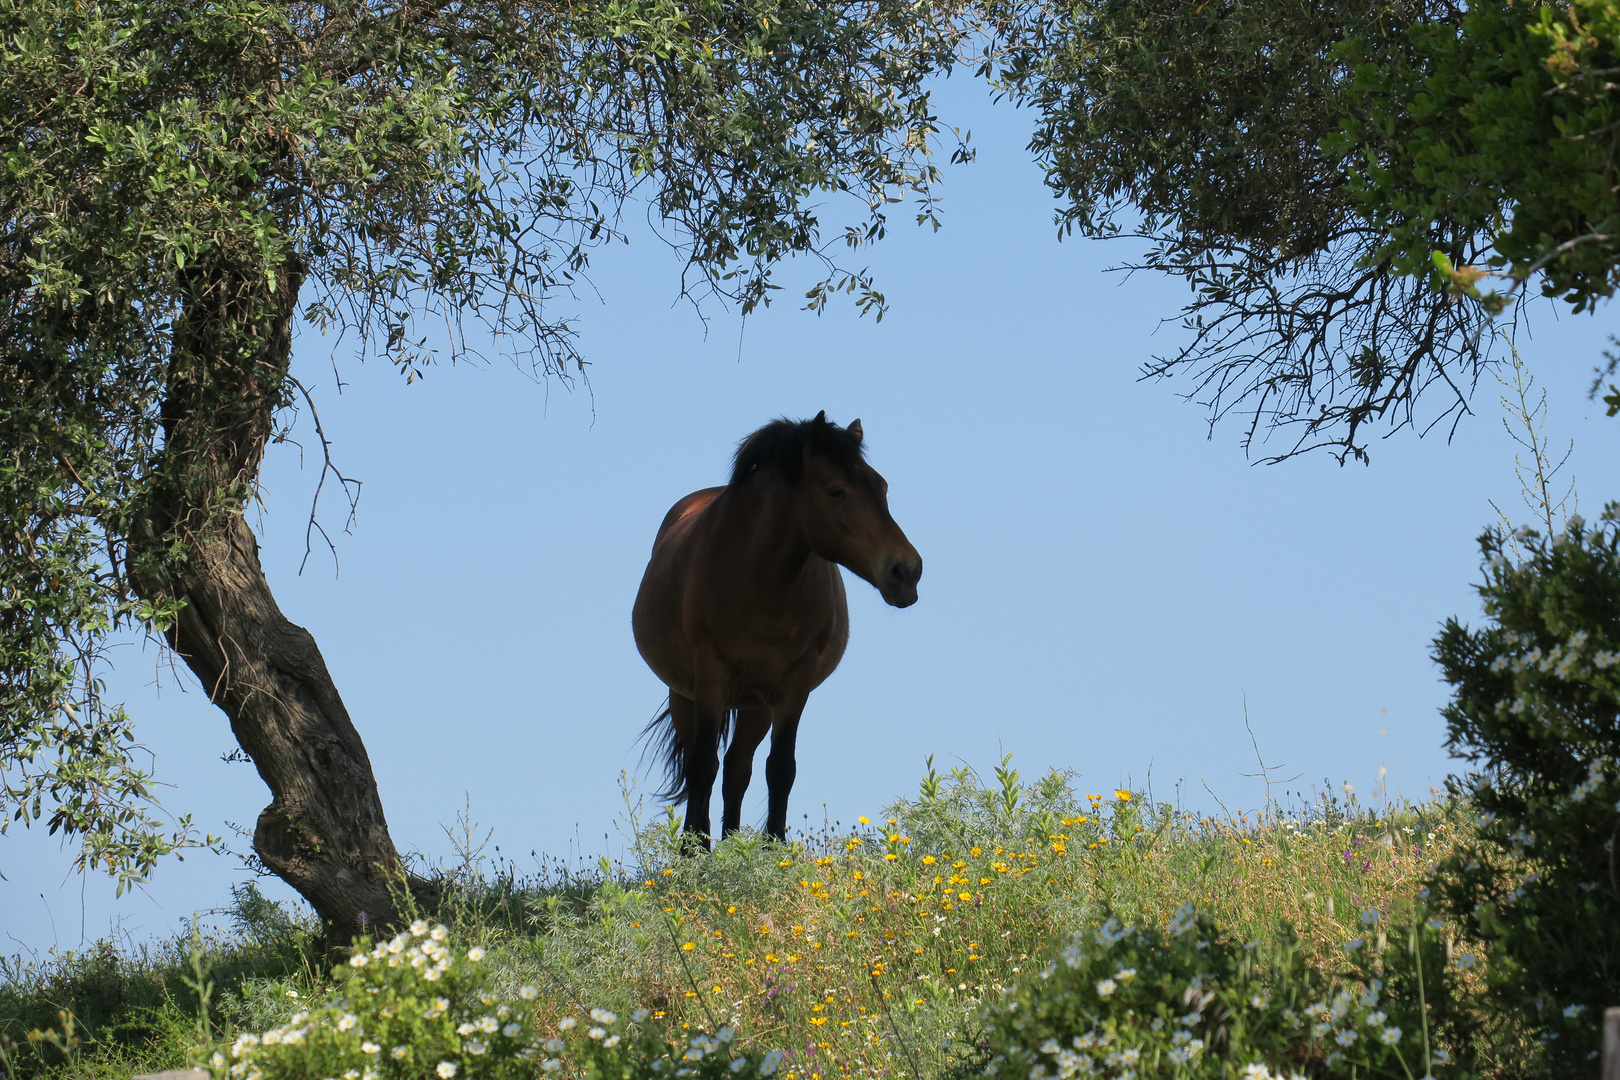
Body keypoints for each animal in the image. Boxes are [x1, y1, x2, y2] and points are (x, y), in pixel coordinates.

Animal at [631, 409, 926, 848]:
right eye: (836, 491)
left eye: (882, 486)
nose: (906, 571)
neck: (760, 579)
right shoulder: (710, 676)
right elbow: (701, 767)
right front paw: (692, 853)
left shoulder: (794, 685)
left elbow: (780, 769)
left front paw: (773, 850)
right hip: (685, 696)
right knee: (704, 764)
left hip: (756, 706)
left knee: (737, 769)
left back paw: (733, 846)